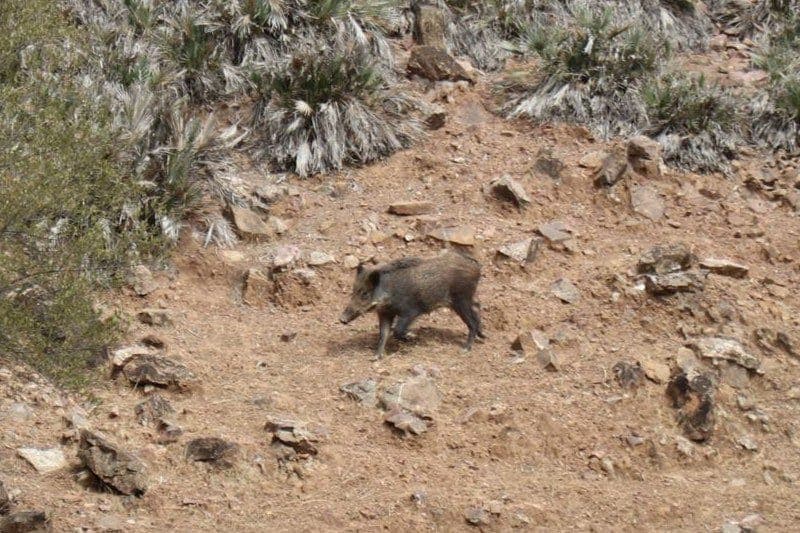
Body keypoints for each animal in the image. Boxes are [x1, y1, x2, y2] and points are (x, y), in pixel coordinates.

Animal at [339, 251, 486, 359]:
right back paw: (483, 336)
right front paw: (376, 357)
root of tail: (475, 265)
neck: (388, 292)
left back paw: (465, 349)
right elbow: (383, 333)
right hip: (467, 298)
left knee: (472, 321)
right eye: (353, 291)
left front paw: (412, 336)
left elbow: (397, 330)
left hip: (461, 299)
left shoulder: (411, 311)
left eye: (365, 293)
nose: (342, 319)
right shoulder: (385, 313)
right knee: (477, 308)